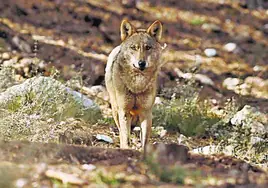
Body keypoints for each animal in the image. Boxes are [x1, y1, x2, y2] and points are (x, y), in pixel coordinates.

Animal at [104, 19, 163, 149]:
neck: (137, 85)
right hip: (116, 110)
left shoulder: (146, 113)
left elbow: (144, 141)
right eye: (134, 47)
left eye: (148, 47)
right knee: (122, 133)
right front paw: (126, 148)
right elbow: (125, 138)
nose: (141, 63)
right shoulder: (124, 111)